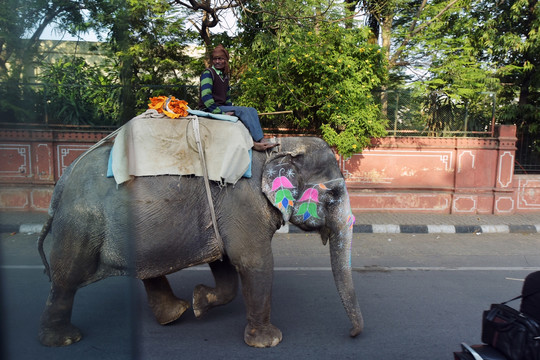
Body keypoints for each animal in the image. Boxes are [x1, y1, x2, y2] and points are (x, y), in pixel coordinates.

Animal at [37, 134, 362, 346]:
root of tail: (62, 181)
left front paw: (199, 302)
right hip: (82, 223)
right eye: (333, 195)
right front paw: (269, 341)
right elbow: (253, 262)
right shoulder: (242, 204)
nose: (352, 334)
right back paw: (63, 339)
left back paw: (176, 313)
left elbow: (225, 262)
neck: (281, 147)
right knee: (66, 279)